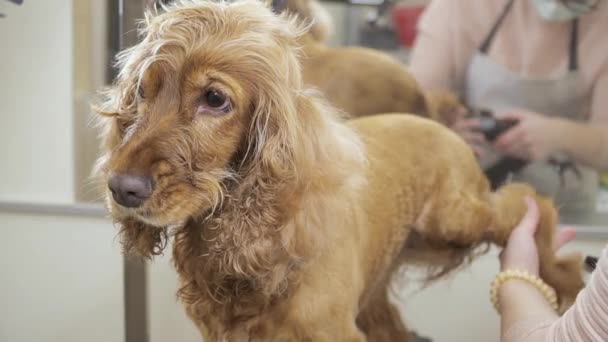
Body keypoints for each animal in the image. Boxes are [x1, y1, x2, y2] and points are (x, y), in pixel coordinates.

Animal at [97, 1, 588, 340]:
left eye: (215, 98)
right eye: (142, 91)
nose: (121, 189)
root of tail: (433, 116)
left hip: (453, 217)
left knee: (523, 204)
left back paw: (562, 270)